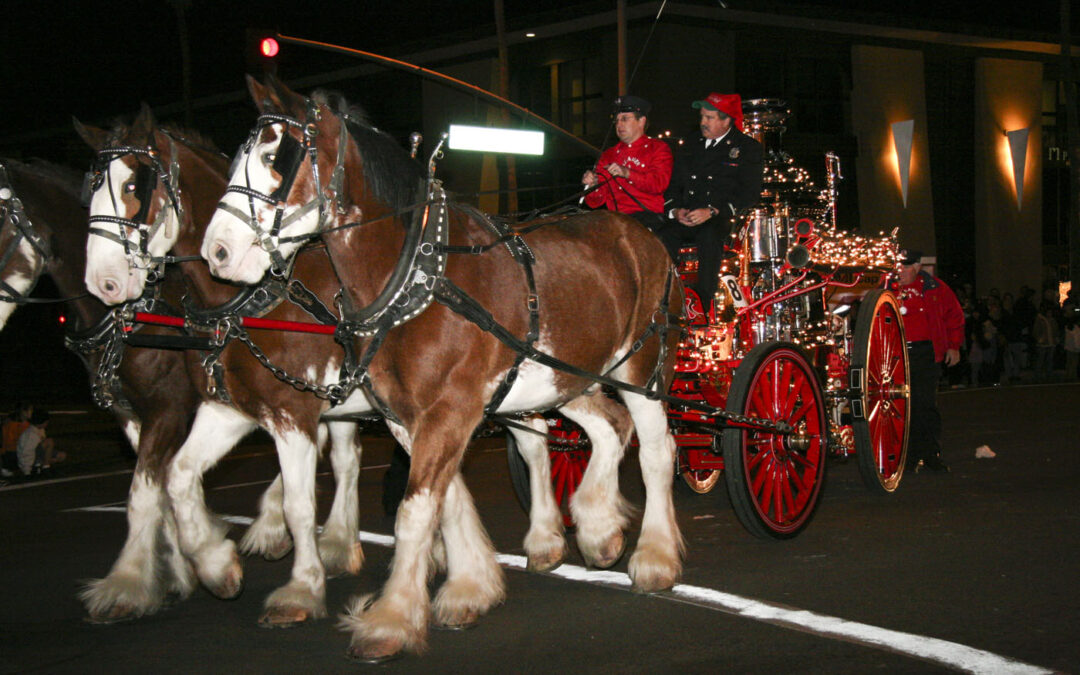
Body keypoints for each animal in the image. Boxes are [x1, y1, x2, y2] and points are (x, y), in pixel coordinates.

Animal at [78, 109, 369, 622]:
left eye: (134, 186)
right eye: (89, 190)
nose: (102, 282)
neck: (248, 302)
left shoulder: (290, 413)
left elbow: (298, 504)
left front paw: (301, 587)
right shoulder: (227, 408)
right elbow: (175, 478)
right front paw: (214, 566)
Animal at [203, 77, 682, 656]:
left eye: (277, 157)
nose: (217, 252)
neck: (416, 277)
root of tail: (643, 236)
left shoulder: (448, 410)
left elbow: (414, 512)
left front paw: (389, 620)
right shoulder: (407, 416)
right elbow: (444, 500)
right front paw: (469, 588)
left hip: (642, 370)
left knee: (655, 451)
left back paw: (654, 557)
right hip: (565, 376)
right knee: (611, 427)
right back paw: (597, 528)